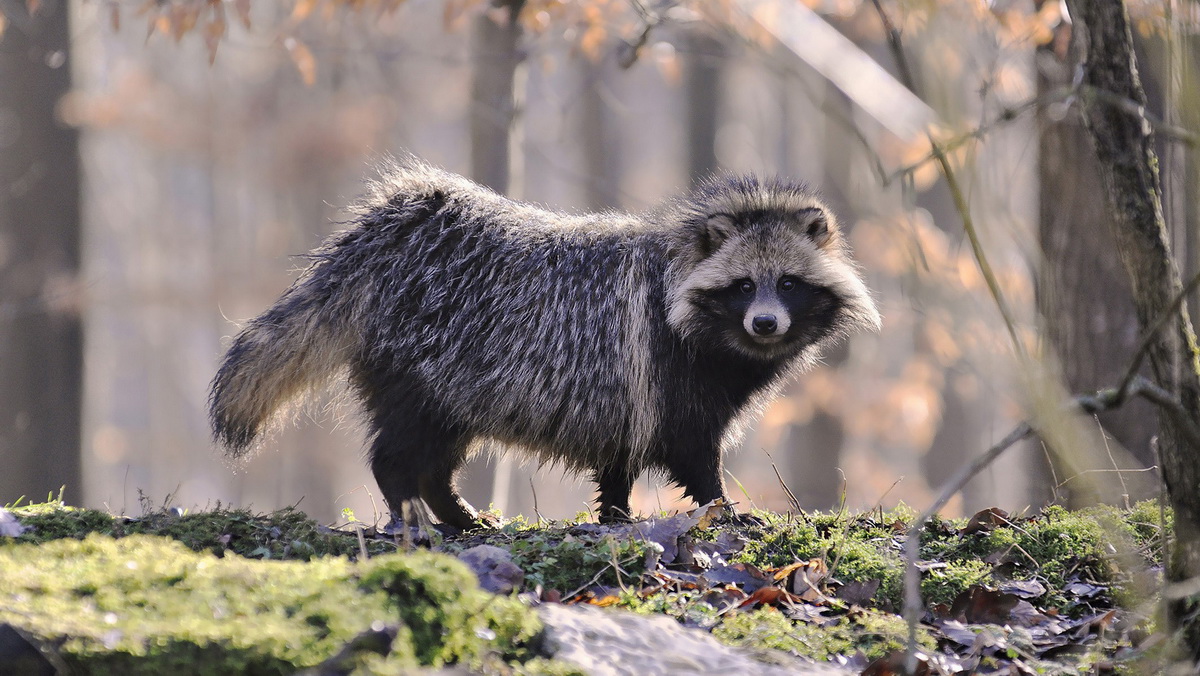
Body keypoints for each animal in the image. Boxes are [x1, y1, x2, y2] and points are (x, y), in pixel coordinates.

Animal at [208, 157, 883, 528]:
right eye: (744, 286)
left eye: (788, 283)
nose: (765, 325)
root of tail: (392, 232)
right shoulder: (668, 376)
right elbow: (694, 453)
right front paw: (722, 509)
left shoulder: (626, 391)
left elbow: (619, 461)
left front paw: (615, 515)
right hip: (424, 367)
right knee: (398, 452)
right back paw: (411, 507)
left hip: (456, 388)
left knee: (436, 460)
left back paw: (453, 511)